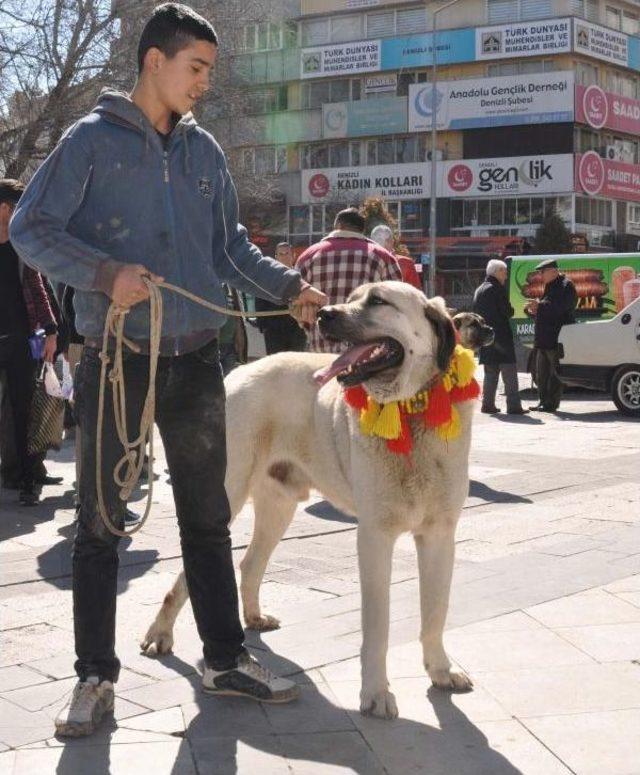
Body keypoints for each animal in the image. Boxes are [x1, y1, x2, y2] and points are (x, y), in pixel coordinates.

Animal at [142, 282, 478, 720]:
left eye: (378, 302)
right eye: (351, 298)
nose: (325, 314)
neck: (412, 410)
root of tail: (238, 371)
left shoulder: (440, 536)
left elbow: (436, 611)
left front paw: (440, 669)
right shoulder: (375, 537)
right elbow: (378, 624)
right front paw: (376, 692)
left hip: (279, 507)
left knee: (249, 562)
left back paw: (253, 617)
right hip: (225, 497)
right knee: (186, 575)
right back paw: (160, 633)